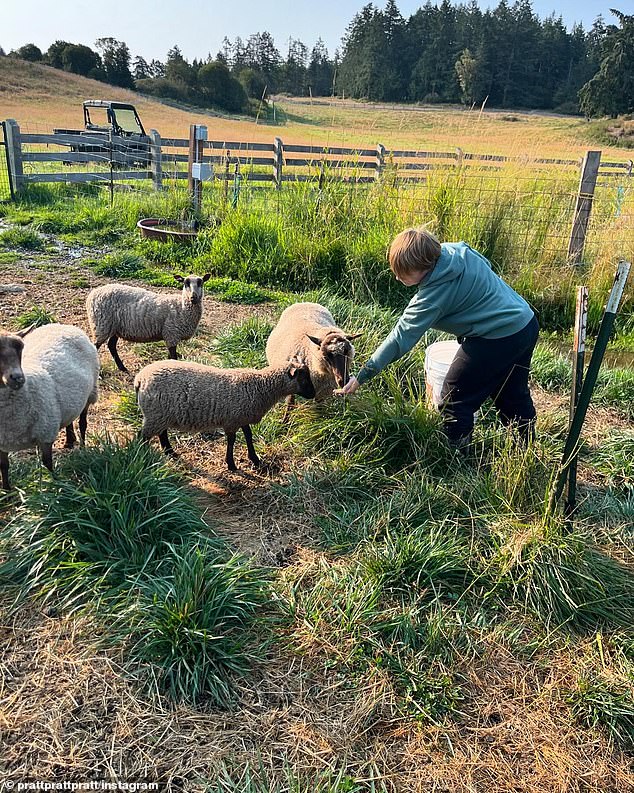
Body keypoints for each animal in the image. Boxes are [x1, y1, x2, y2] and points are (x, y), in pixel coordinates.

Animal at [0, 322, 99, 488]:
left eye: (21, 348)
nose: (18, 378)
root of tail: (62, 325)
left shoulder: (46, 433)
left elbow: (47, 463)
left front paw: (58, 484)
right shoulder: (2, 443)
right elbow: (4, 468)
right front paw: (7, 490)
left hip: (91, 392)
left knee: (82, 422)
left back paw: (83, 448)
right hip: (70, 400)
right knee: (69, 417)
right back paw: (69, 440)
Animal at [136, 358, 318, 470]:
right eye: (303, 378)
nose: (313, 394)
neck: (260, 386)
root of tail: (140, 379)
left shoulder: (242, 416)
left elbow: (248, 436)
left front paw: (254, 458)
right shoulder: (232, 420)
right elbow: (232, 441)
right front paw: (231, 464)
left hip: (160, 414)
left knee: (161, 433)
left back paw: (169, 451)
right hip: (155, 414)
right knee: (143, 436)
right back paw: (143, 458)